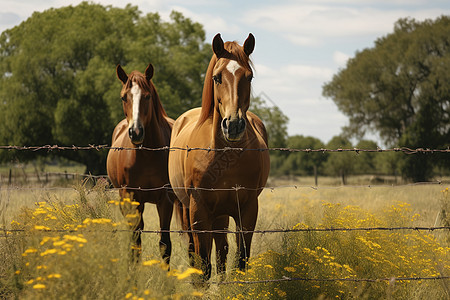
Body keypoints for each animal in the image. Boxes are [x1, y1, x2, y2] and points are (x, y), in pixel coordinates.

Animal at [106, 63, 175, 264]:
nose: (136, 132)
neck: (147, 155)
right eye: (123, 97)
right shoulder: (131, 198)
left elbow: (165, 245)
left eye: (147, 96)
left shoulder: (166, 200)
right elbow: (135, 243)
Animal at [167, 34, 268, 280]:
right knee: (195, 250)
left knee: (222, 249)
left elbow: (240, 259)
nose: (233, 125)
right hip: (190, 210)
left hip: (222, 213)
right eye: (217, 77)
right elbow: (203, 262)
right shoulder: (198, 209)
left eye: (249, 76)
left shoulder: (248, 209)